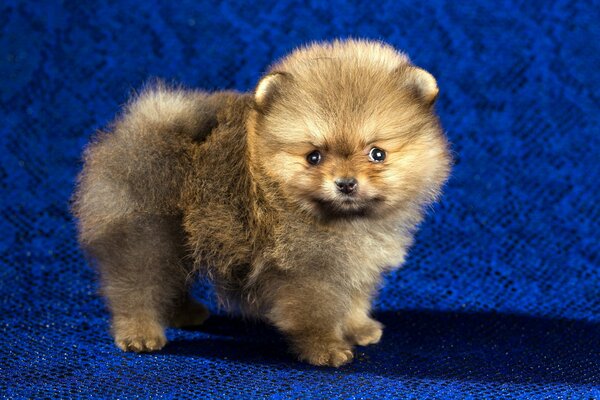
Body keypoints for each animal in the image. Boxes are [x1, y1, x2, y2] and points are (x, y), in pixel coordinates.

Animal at [71, 39, 450, 368]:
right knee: (137, 284)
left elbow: (354, 298)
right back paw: (140, 332)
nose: (345, 183)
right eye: (314, 156)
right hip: (146, 232)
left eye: (377, 154)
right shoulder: (307, 271)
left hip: (178, 238)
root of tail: (142, 126)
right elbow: (316, 314)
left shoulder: (354, 264)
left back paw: (184, 313)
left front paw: (359, 328)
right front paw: (326, 349)